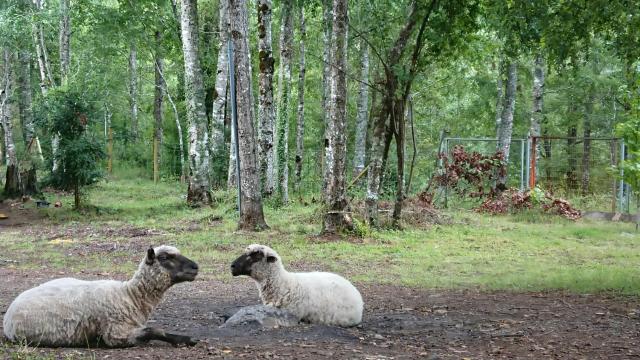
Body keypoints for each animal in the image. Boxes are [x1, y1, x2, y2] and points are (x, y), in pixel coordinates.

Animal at [2, 245, 199, 346]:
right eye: (164, 258)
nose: (196, 267)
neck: (130, 296)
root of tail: (9, 313)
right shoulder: (116, 333)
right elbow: (154, 330)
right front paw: (185, 340)